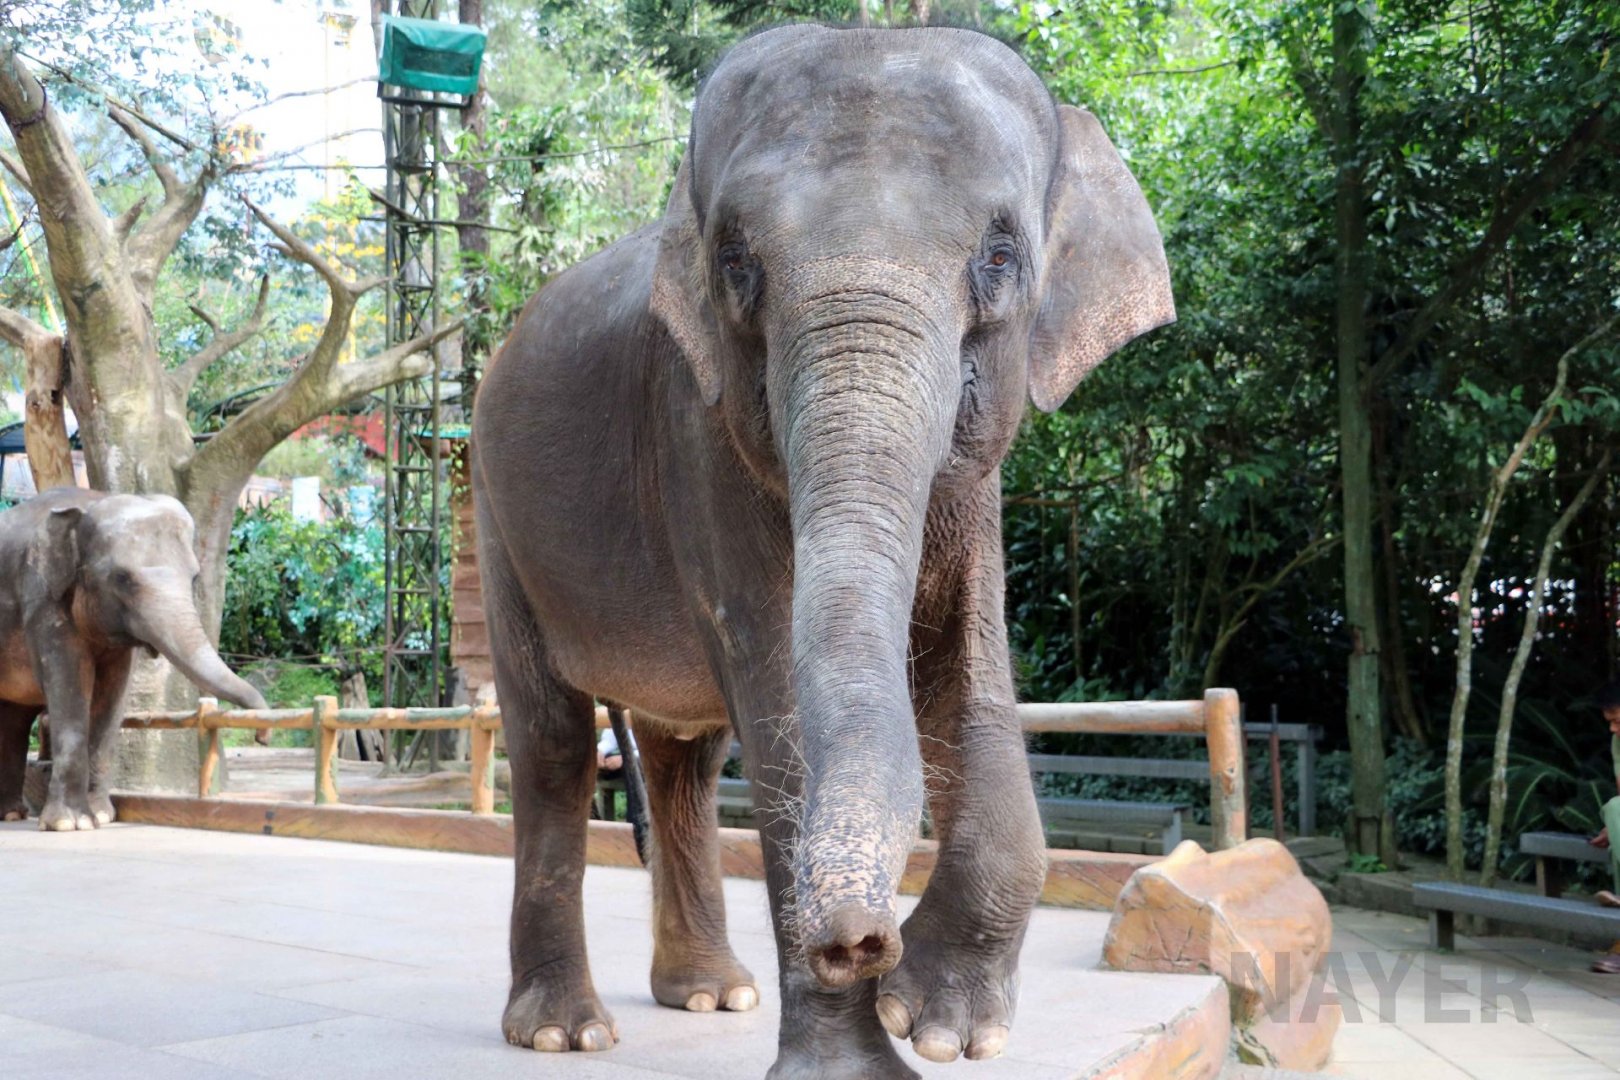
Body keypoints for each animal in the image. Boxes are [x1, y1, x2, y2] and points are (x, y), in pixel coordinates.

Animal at [0, 487, 268, 831]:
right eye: (121, 578)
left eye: (194, 578)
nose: (262, 736)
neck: (89, 503)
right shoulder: (41, 599)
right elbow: (69, 686)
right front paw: (70, 824)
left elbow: (112, 695)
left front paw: (101, 816)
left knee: (13, 716)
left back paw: (10, 814)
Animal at [471, 23, 1174, 1078]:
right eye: (735, 262)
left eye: (1001, 255)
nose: (861, 941)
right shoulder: (700, 430)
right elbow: (780, 697)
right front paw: (863, 1057)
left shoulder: (974, 485)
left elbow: (967, 661)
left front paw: (943, 1024)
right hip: (495, 516)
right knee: (552, 741)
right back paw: (565, 1030)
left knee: (686, 756)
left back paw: (712, 995)